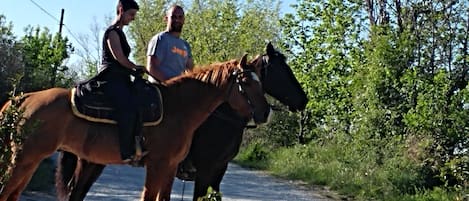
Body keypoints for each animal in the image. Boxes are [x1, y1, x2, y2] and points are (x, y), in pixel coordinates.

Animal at [0, 55, 270, 201]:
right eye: (246, 82)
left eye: (261, 81)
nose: (266, 112)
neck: (179, 109)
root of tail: (22, 100)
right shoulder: (159, 165)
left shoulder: (171, 168)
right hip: (24, 158)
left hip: (33, 160)